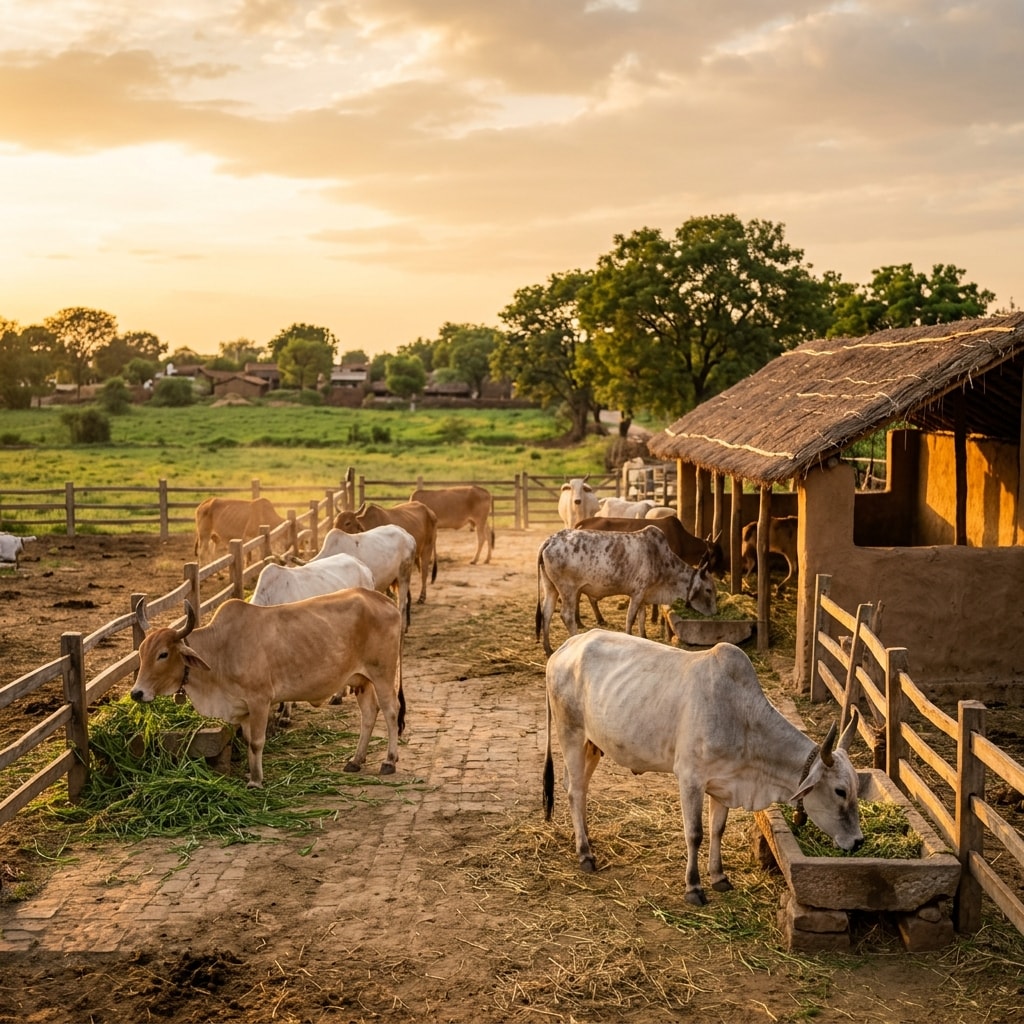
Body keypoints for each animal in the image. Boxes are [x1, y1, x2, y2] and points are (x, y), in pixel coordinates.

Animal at [131, 591, 404, 787]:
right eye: (141, 653)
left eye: (163, 654)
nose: (137, 693)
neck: (221, 649)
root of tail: (385, 600)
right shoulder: (243, 709)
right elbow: (248, 740)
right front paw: (250, 774)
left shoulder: (260, 700)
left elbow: (256, 742)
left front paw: (256, 781)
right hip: (361, 680)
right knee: (369, 715)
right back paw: (356, 760)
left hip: (382, 674)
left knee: (391, 711)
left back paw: (389, 761)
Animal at [535, 526, 717, 656]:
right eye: (708, 589)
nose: (715, 613)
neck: (661, 560)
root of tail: (550, 540)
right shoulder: (637, 593)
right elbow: (631, 619)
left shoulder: (644, 595)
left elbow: (642, 618)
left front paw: (644, 637)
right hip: (568, 590)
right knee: (566, 615)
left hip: (550, 587)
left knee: (547, 612)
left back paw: (548, 649)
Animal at [543, 630, 863, 904]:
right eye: (840, 791)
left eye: (856, 790)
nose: (859, 842)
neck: (743, 720)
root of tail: (566, 646)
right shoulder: (690, 779)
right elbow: (694, 833)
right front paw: (694, 887)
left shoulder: (723, 785)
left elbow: (717, 830)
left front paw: (719, 876)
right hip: (570, 733)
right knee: (574, 791)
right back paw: (585, 854)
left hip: (593, 745)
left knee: (579, 789)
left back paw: (586, 840)